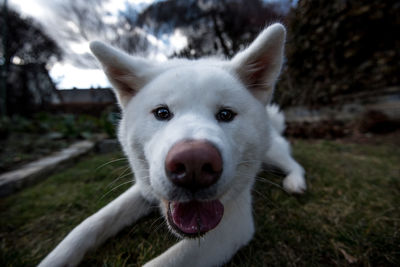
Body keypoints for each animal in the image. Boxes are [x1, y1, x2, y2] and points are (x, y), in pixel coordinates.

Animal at [39, 23, 306, 267]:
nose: (194, 163)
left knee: (294, 164)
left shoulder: (233, 225)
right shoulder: (145, 187)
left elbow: (162, 262)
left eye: (225, 114)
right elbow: (90, 224)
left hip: (273, 153)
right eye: (162, 112)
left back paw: (295, 182)